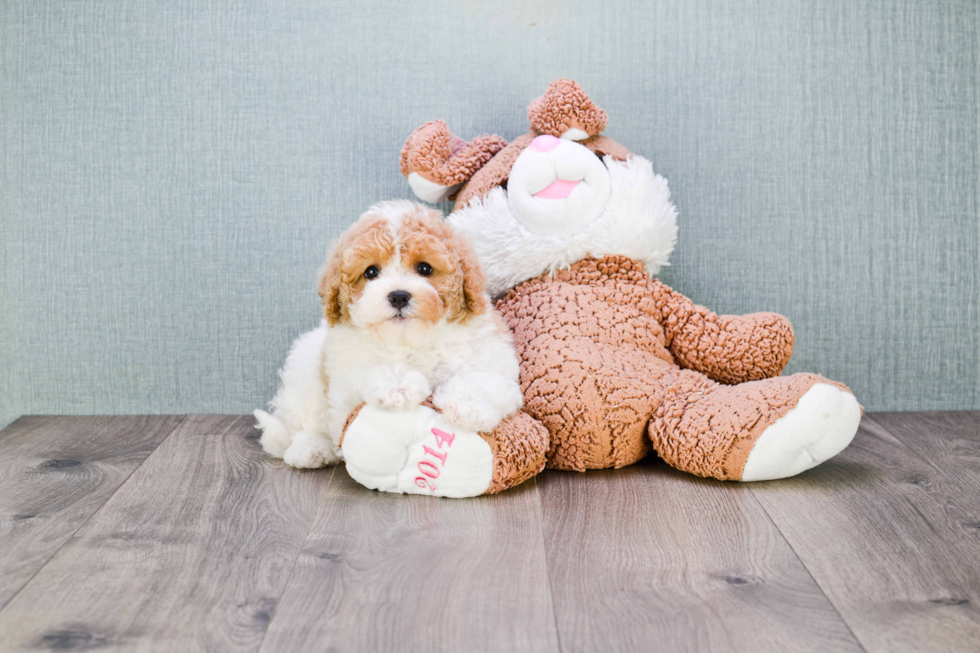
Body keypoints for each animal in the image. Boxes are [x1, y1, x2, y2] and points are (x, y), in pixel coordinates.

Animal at [256, 199, 524, 468]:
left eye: (424, 268)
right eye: (371, 272)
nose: (399, 296)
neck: (410, 338)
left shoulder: (492, 355)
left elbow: (485, 378)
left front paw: (468, 406)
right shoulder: (346, 367)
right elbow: (368, 368)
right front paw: (397, 385)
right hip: (304, 369)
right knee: (305, 420)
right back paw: (311, 449)